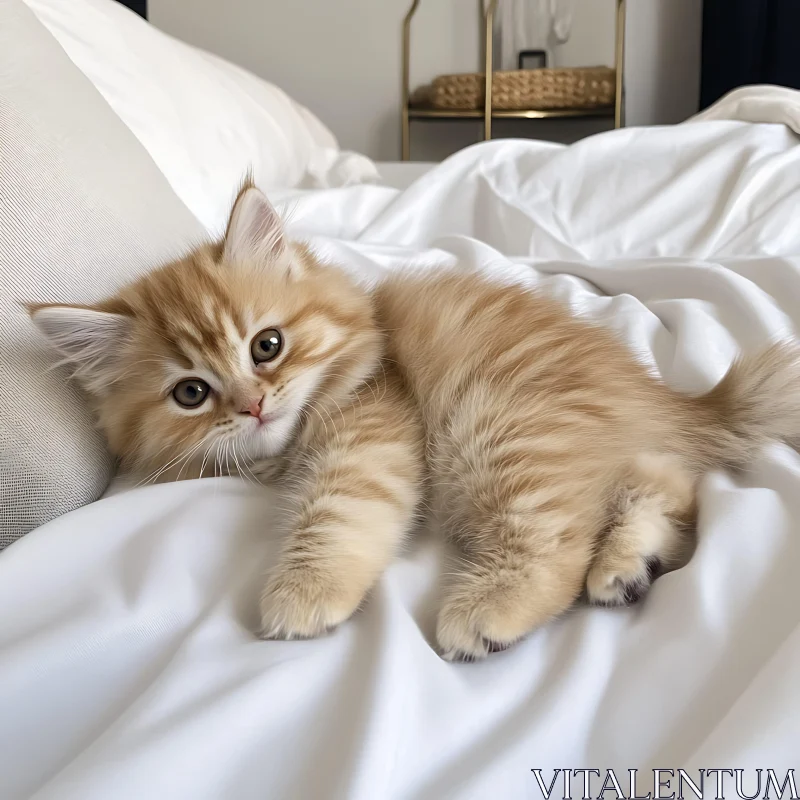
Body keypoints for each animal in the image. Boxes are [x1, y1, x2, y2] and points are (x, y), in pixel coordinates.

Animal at [32, 184, 800, 660]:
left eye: (267, 346)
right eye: (191, 393)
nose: (253, 404)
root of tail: (668, 398)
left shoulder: (374, 427)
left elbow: (334, 514)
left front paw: (304, 592)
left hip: (499, 428)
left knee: (558, 542)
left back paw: (494, 607)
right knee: (670, 486)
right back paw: (627, 566)